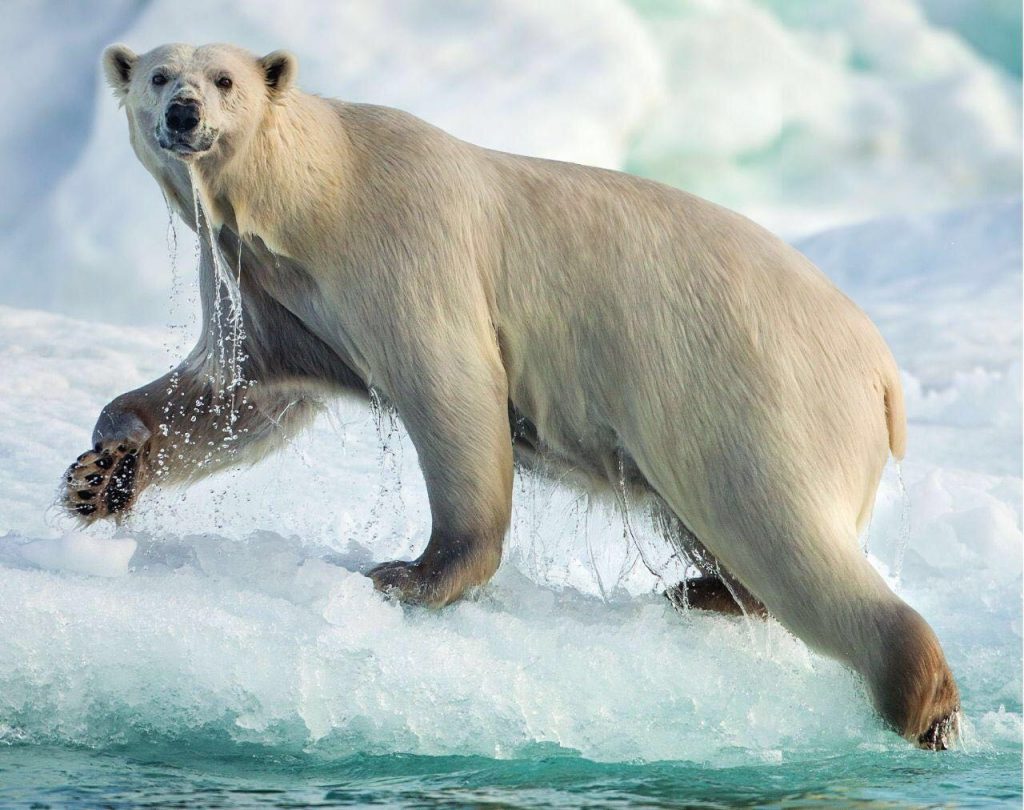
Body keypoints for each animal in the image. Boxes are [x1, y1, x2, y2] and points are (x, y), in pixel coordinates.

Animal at [66, 42, 958, 749]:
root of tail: (882, 372)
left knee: (777, 523)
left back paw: (920, 698)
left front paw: (408, 575)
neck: (320, 196)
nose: (182, 113)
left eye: (223, 78)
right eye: (158, 74)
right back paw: (706, 590)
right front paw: (99, 475)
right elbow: (231, 399)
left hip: (754, 386)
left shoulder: (407, 249)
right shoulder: (271, 297)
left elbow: (452, 392)